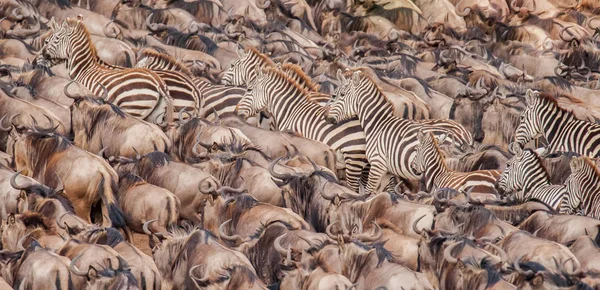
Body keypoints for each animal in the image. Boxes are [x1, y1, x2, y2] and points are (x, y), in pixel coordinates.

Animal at [37, 16, 173, 124]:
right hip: (154, 115)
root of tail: (158, 83)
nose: (38, 58)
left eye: (52, 40)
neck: (85, 69)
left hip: (134, 108)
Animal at [326, 69, 476, 194]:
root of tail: (466, 138)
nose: (328, 118)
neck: (378, 124)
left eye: (341, 95)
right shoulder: (387, 170)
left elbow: (369, 191)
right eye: (334, 95)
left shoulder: (377, 164)